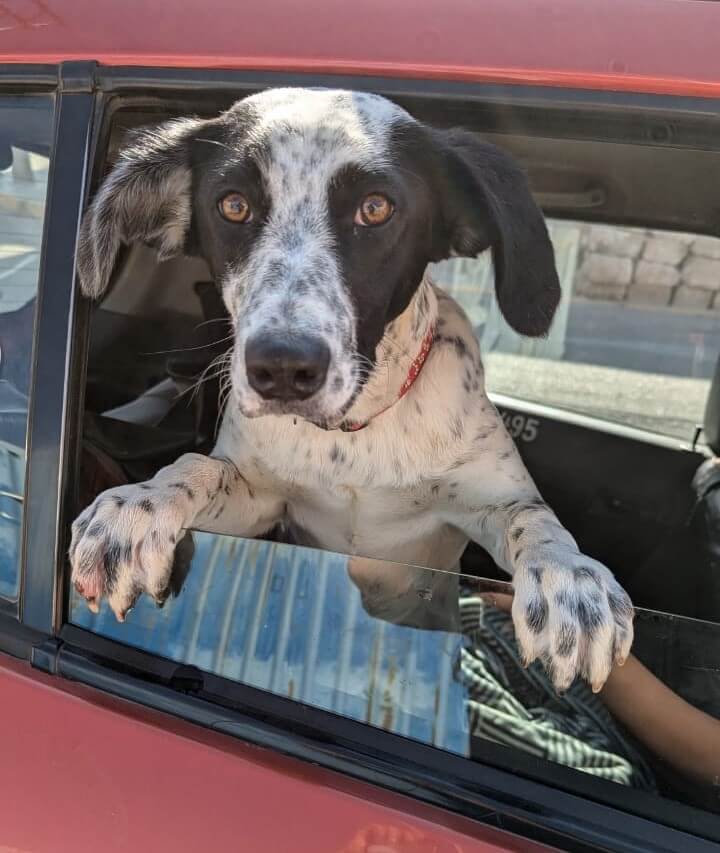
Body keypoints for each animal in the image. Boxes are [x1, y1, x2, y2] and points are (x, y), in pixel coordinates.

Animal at [70, 86, 632, 692]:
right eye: (233, 205)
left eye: (376, 208)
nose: (282, 367)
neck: (354, 435)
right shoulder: (261, 503)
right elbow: (197, 469)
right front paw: (137, 507)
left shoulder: (486, 503)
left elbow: (534, 519)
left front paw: (568, 580)